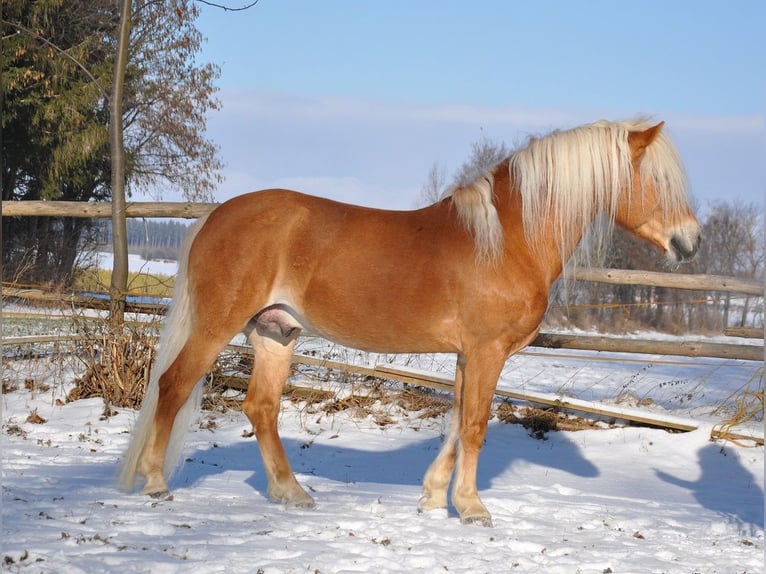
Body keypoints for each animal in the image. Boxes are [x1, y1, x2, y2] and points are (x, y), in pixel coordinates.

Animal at [118, 118, 704, 532]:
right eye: (655, 179)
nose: (690, 241)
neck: (506, 240)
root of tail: (214, 216)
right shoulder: (487, 351)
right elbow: (475, 425)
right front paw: (472, 509)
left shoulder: (469, 354)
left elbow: (458, 423)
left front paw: (433, 499)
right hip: (218, 327)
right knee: (173, 385)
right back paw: (156, 485)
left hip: (275, 334)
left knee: (260, 408)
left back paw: (293, 494)